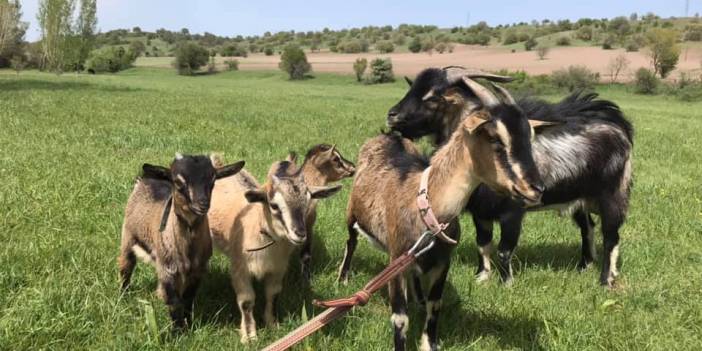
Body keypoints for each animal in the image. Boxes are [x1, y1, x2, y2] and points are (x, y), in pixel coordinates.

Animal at [208, 160, 342, 344]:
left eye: (307, 203)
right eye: (274, 205)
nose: (300, 234)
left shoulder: (278, 269)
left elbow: (273, 294)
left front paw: (272, 324)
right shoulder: (239, 268)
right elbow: (246, 301)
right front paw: (249, 336)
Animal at [388, 66, 636, 288]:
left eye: (431, 98)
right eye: (413, 88)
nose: (392, 115)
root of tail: (617, 123)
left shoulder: (513, 211)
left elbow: (504, 249)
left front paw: (506, 283)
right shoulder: (481, 212)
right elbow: (483, 244)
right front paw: (482, 277)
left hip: (612, 194)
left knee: (611, 236)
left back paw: (606, 280)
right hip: (578, 199)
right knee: (588, 228)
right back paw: (584, 266)